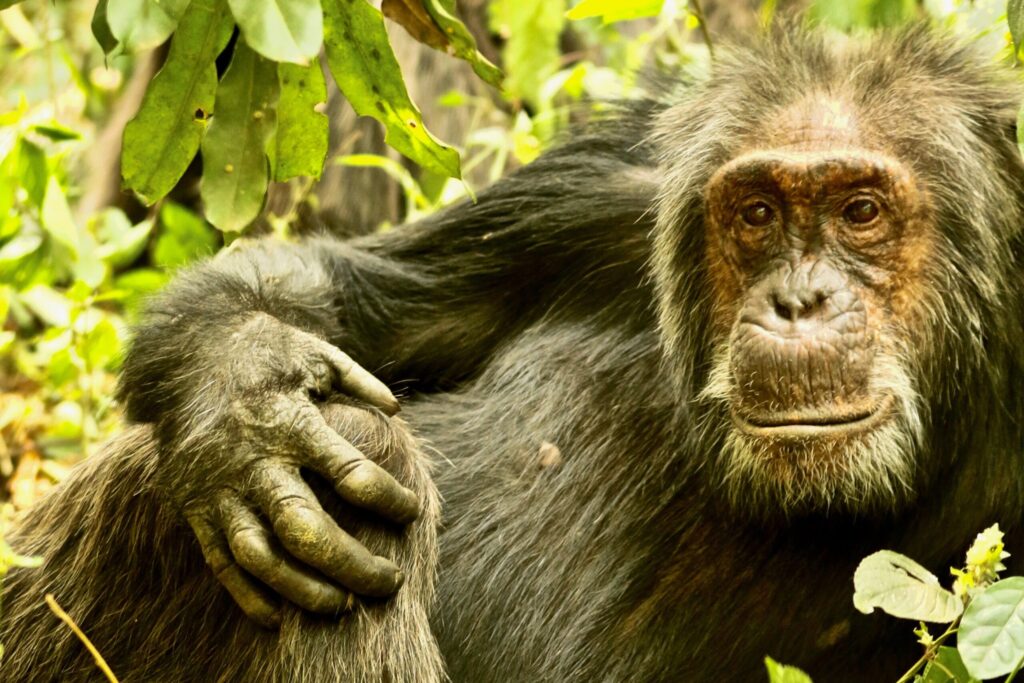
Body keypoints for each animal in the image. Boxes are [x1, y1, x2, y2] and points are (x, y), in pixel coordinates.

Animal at [3, 22, 1024, 682]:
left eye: (862, 210)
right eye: (758, 213)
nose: (798, 299)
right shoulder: (593, 196)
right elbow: (353, 291)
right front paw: (246, 412)